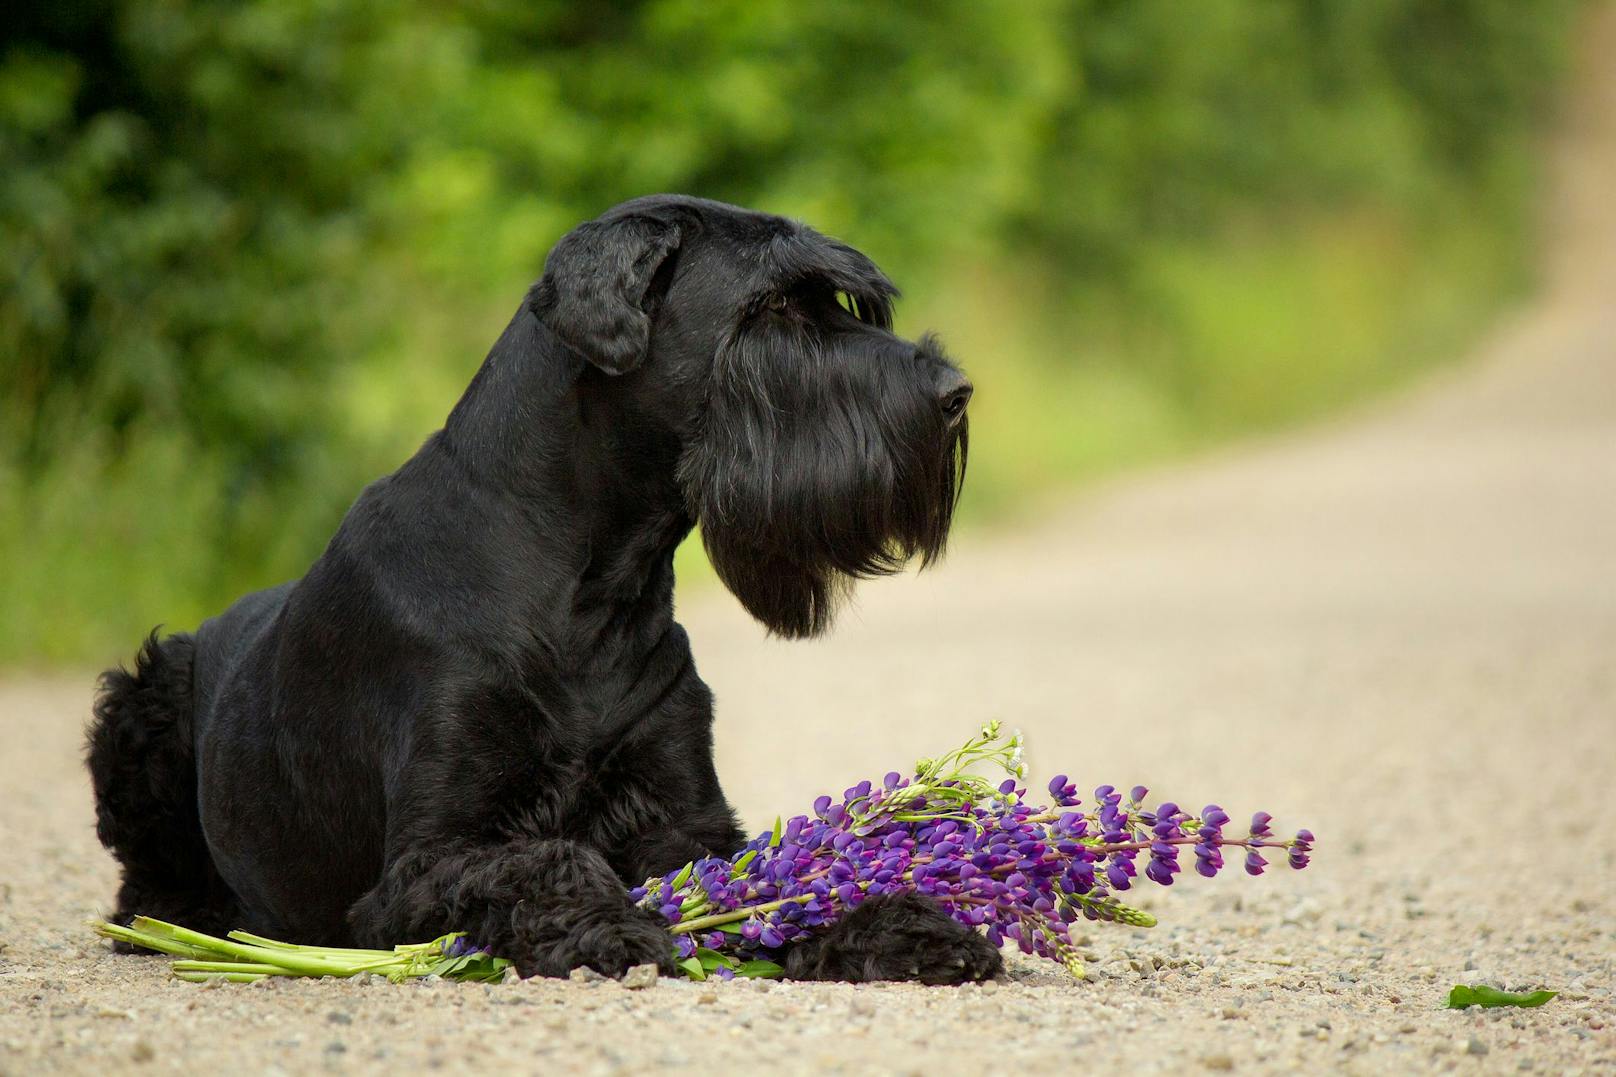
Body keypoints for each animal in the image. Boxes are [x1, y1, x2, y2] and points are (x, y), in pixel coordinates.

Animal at [91, 193, 995, 983]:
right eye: (771, 306)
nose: (954, 393)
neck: (592, 585)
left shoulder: (684, 822)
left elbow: (774, 873)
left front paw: (895, 925)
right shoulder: (421, 867)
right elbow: (545, 861)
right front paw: (615, 924)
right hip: (144, 697)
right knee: (142, 890)